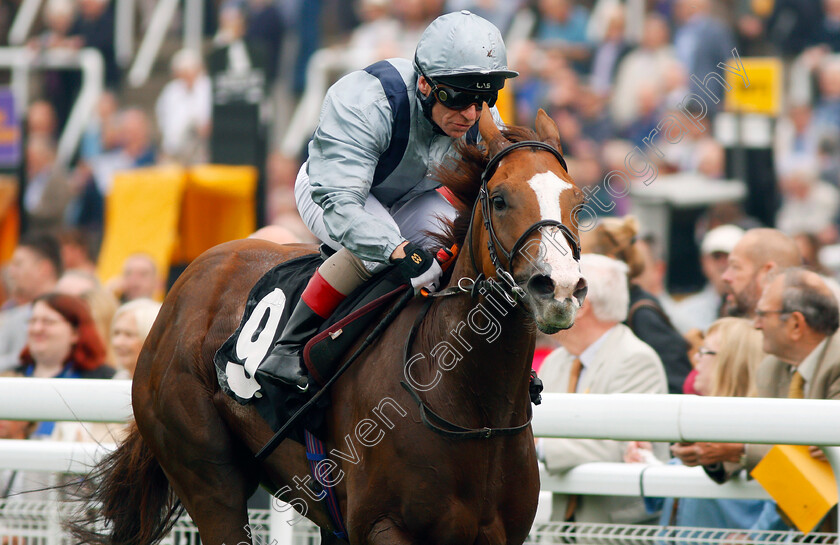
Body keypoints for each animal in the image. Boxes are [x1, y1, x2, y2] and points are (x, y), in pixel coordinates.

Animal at [70, 110, 584, 544]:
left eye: (577, 201)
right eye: (499, 199)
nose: (559, 287)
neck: (472, 408)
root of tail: (181, 289)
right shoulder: (383, 527)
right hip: (204, 469)